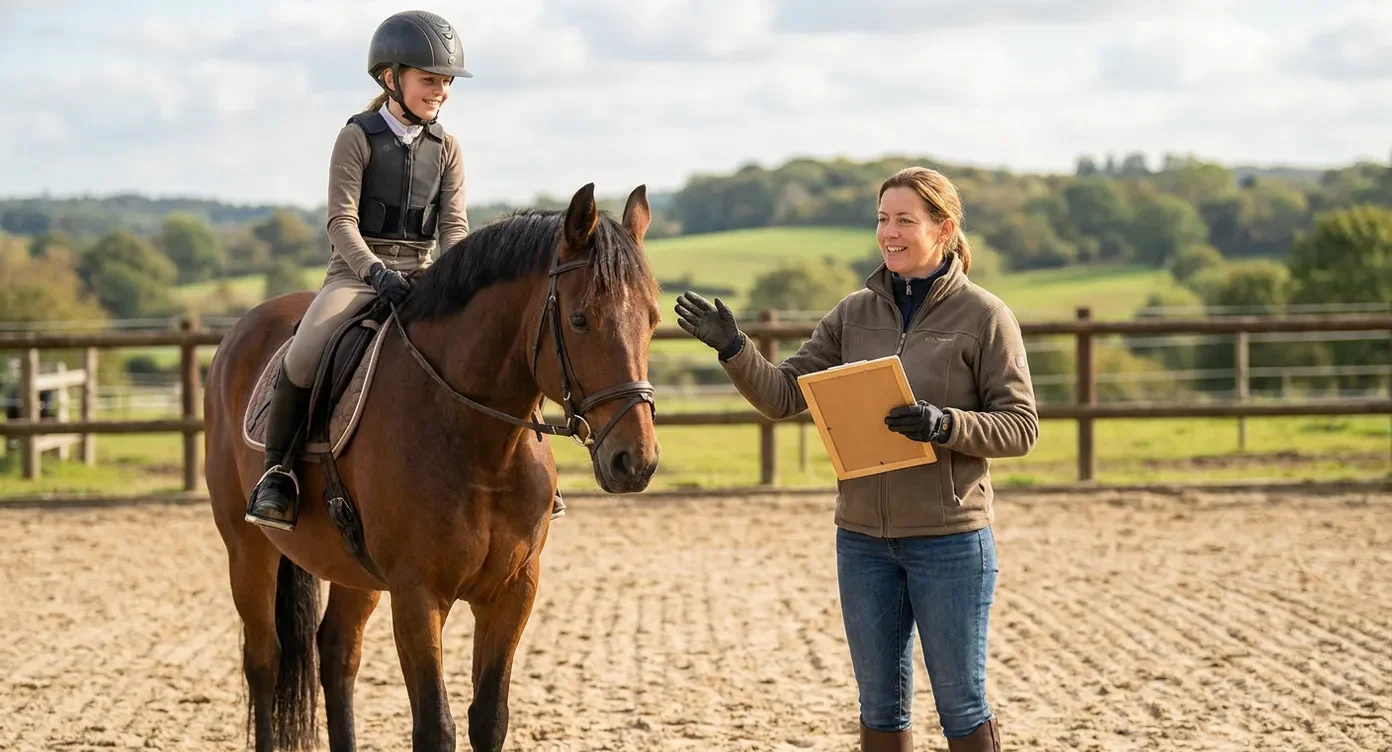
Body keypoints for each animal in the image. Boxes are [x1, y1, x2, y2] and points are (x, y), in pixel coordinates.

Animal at [203, 183, 661, 752]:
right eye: (581, 319)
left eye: (652, 320)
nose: (635, 460)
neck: (481, 445)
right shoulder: (418, 596)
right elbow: (435, 727)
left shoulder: (513, 591)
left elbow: (489, 718)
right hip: (248, 548)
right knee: (264, 661)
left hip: (355, 571)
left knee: (337, 655)